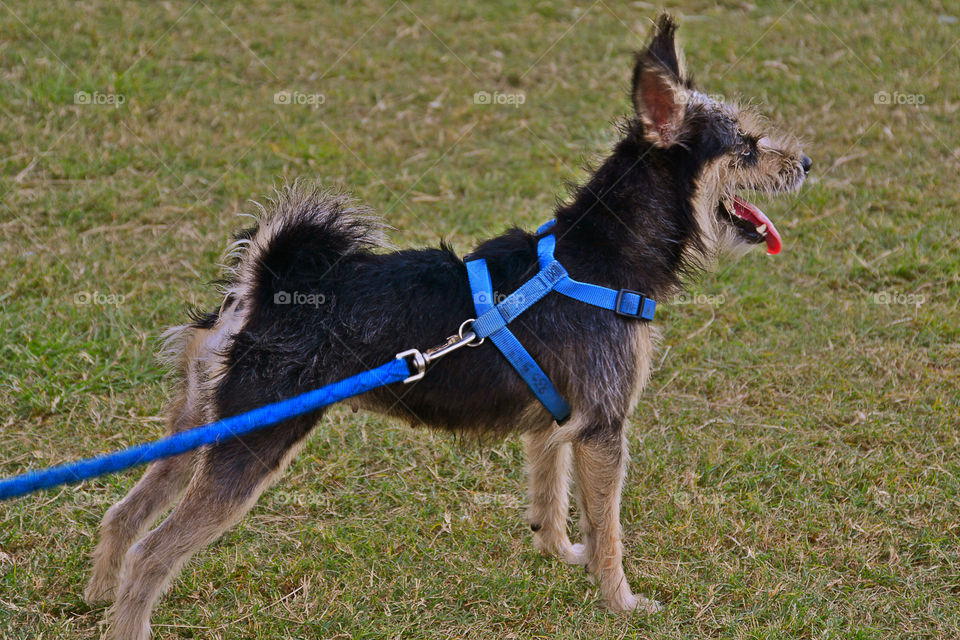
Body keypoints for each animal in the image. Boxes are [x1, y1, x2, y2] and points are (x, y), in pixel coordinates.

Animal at [84, 16, 808, 640]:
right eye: (748, 147)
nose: (807, 164)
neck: (596, 254)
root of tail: (261, 287)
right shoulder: (603, 429)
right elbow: (610, 533)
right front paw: (621, 603)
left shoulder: (557, 426)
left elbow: (551, 500)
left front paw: (559, 553)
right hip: (252, 443)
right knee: (153, 552)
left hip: (198, 428)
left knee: (123, 514)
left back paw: (94, 597)